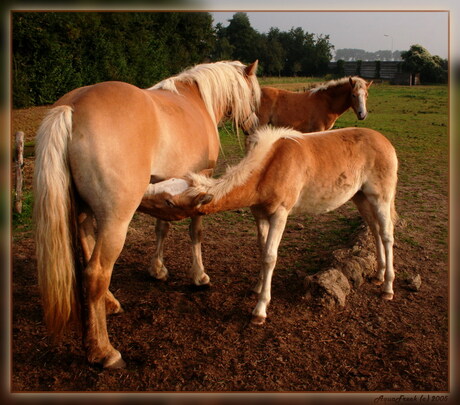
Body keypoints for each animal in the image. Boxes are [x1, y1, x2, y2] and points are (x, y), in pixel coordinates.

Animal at [33, 59, 260, 366]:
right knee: (96, 273)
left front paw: (158, 270)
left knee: (88, 255)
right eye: (253, 95)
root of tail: (72, 107)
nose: (255, 125)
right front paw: (199, 276)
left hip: (84, 212)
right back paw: (103, 351)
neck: (197, 99)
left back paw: (109, 304)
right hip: (116, 220)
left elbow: (161, 227)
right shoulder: (201, 180)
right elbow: (196, 231)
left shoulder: (167, 186)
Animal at [142, 126, 398, 326]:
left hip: (380, 197)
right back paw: (377, 275)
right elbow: (262, 248)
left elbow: (270, 256)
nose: (141, 194)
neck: (268, 168)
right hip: (360, 197)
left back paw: (387, 287)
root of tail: (385, 142)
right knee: (374, 230)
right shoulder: (260, 214)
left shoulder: (279, 214)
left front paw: (260, 310)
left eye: (169, 202)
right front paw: (257, 287)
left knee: (386, 234)